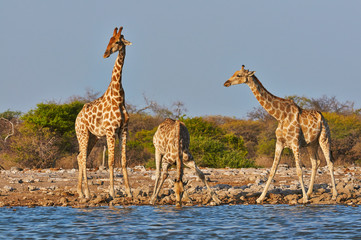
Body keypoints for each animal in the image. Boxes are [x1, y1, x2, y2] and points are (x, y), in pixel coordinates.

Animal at [75, 25, 132, 199]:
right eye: (109, 39)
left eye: (118, 41)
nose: (105, 53)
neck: (118, 98)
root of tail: (77, 118)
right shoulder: (110, 130)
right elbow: (111, 161)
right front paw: (112, 191)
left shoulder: (123, 130)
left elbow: (123, 161)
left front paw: (129, 192)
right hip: (83, 134)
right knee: (82, 158)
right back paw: (85, 193)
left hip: (92, 136)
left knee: (81, 157)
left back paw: (81, 191)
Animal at [222, 65, 338, 202]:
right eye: (234, 73)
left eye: (239, 75)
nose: (226, 83)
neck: (280, 116)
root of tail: (322, 116)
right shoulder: (279, 143)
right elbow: (272, 171)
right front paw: (260, 198)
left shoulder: (295, 143)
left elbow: (299, 170)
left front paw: (304, 198)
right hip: (312, 143)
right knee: (316, 162)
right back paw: (310, 193)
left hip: (324, 137)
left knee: (330, 163)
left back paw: (334, 194)